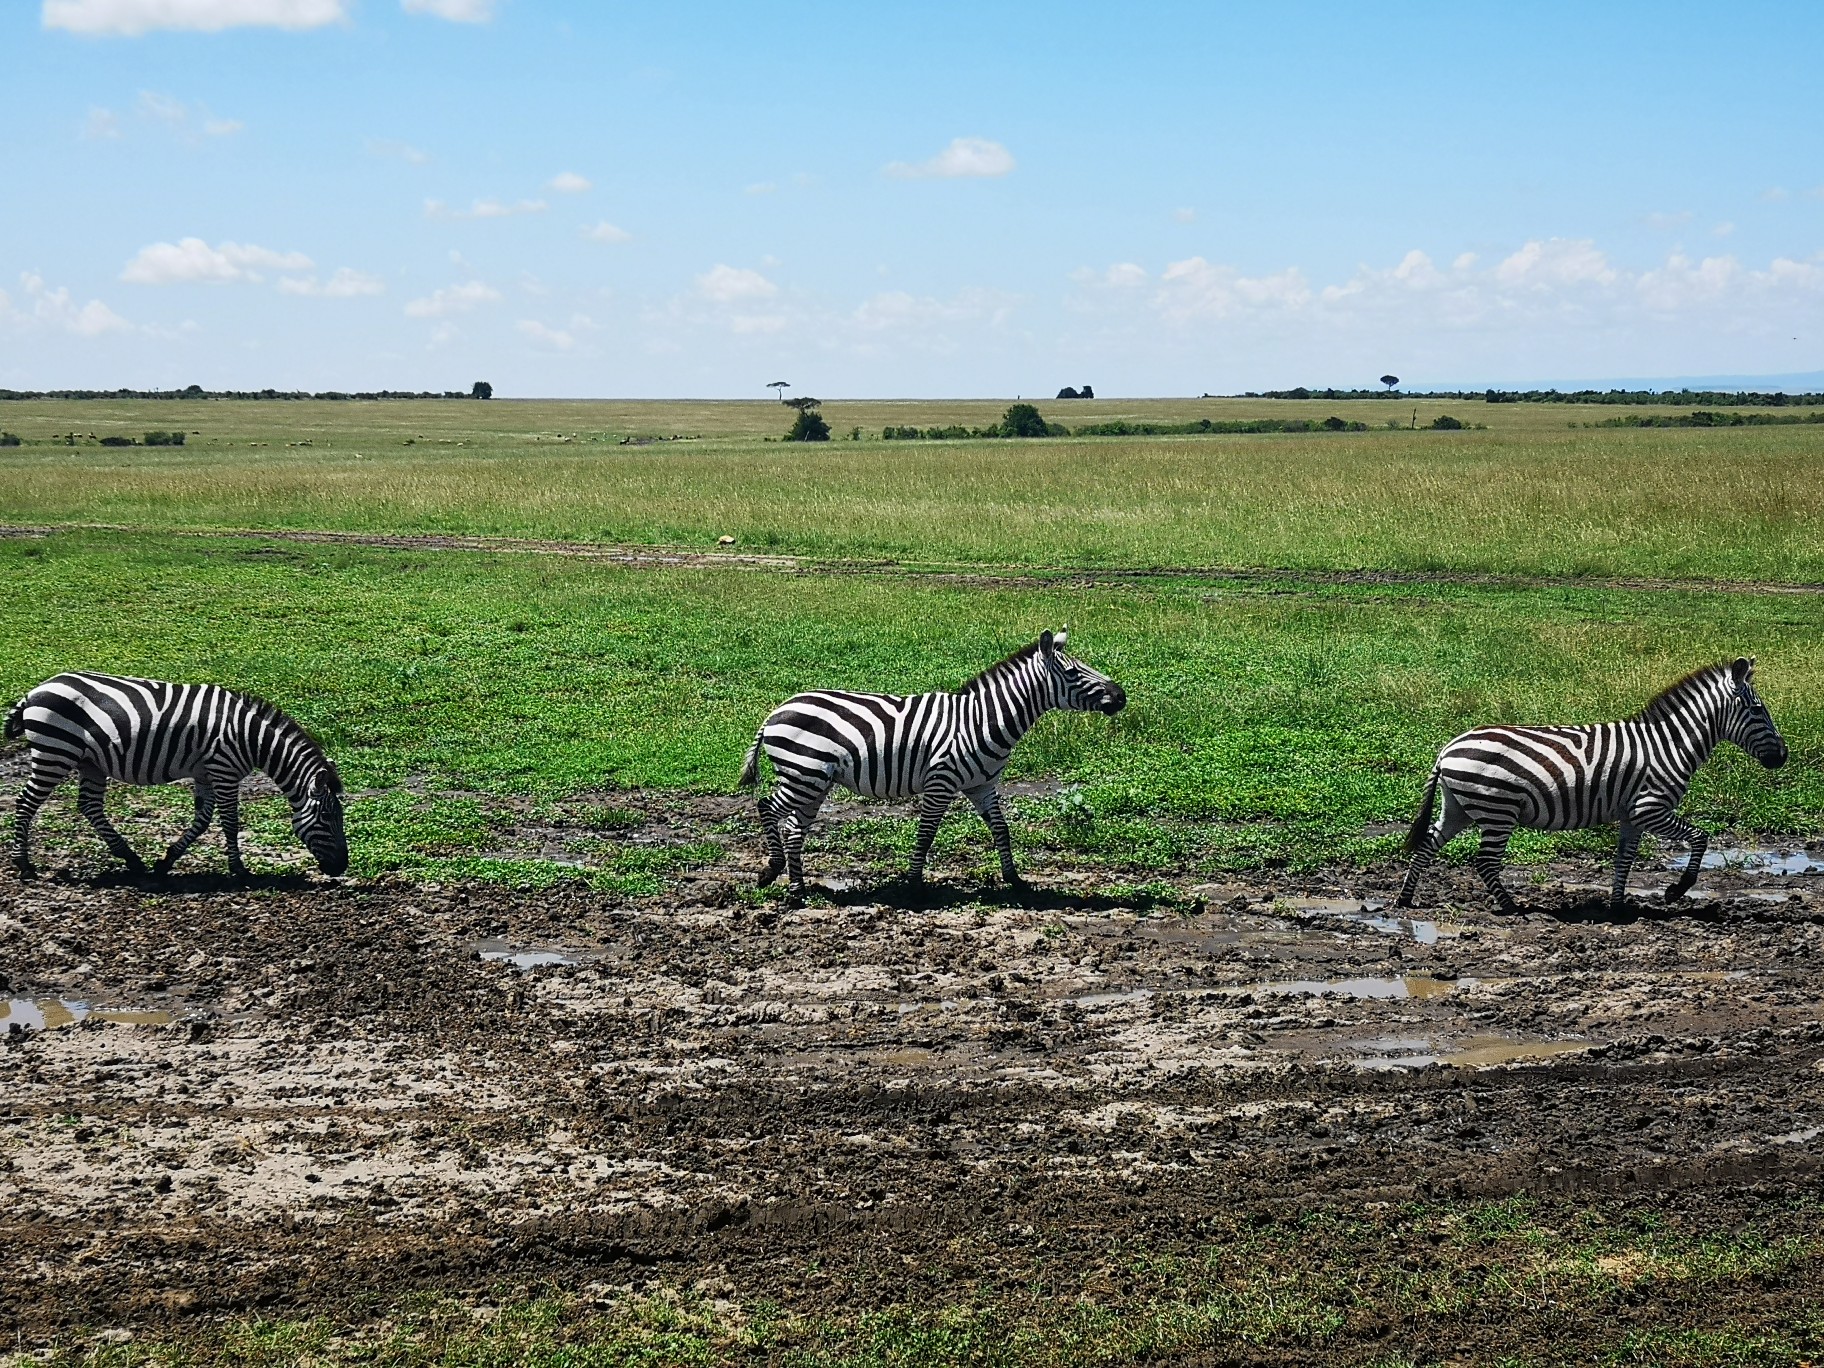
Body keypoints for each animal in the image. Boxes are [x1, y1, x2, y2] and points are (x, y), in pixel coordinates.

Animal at [5, 671, 346, 879]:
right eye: (328, 817)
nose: (342, 867)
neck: (251, 737)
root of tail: (33, 692)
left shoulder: (206, 773)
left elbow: (203, 820)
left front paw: (166, 862)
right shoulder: (224, 770)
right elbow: (230, 822)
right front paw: (239, 870)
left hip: (90, 762)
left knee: (89, 806)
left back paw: (132, 860)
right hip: (55, 752)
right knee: (26, 803)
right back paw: (24, 865)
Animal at [740, 631, 1123, 901]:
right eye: (1073, 672)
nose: (1121, 696)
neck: (981, 721)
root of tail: (776, 710)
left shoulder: (982, 786)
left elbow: (1001, 830)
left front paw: (1014, 880)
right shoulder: (941, 782)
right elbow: (925, 835)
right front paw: (913, 886)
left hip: (815, 781)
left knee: (794, 826)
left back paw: (798, 888)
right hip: (803, 774)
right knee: (768, 807)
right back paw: (774, 873)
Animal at [1400, 660, 1787, 915]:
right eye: (1757, 710)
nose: (1782, 757)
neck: (1669, 745)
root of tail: (1447, 750)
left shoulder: (1633, 815)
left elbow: (1624, 859)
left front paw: (1618, 907)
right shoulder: (1650, 807)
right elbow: (1699, 837)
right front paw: (1676, 891)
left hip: (1459, 807)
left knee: (1427, 845)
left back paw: (1405, 898)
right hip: (1497, 810)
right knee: (1485, 862)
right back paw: (1513, 907)